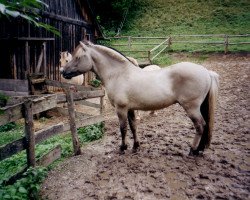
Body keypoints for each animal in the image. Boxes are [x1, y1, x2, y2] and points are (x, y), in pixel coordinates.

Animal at [60, 41, 219, 156]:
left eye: (77, 57)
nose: (63, 72)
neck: (119, 74)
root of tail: (206, 72)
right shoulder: (130, 109)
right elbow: (133, 127)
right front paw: (136, 146)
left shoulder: (121, 109)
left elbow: (123, 128)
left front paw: (122, 148)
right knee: (205, 126)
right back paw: (199, 150)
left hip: (191, 108)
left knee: (200, 126)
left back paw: (193, 150)